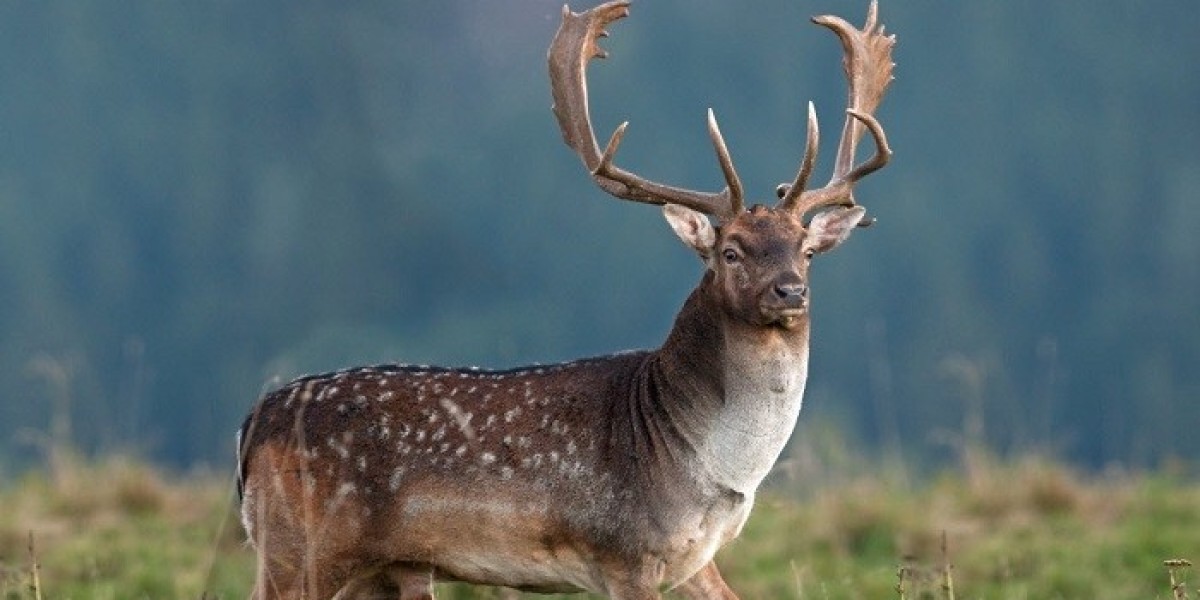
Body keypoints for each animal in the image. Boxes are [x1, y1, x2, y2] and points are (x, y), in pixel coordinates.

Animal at [236, 1, 894, 598]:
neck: (707, 473)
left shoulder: (694, 560)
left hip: (381, 569)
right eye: (730, 251)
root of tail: (251, 425)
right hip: (300, 550)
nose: (791, 290)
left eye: (806, 250)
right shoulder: (626, 554)